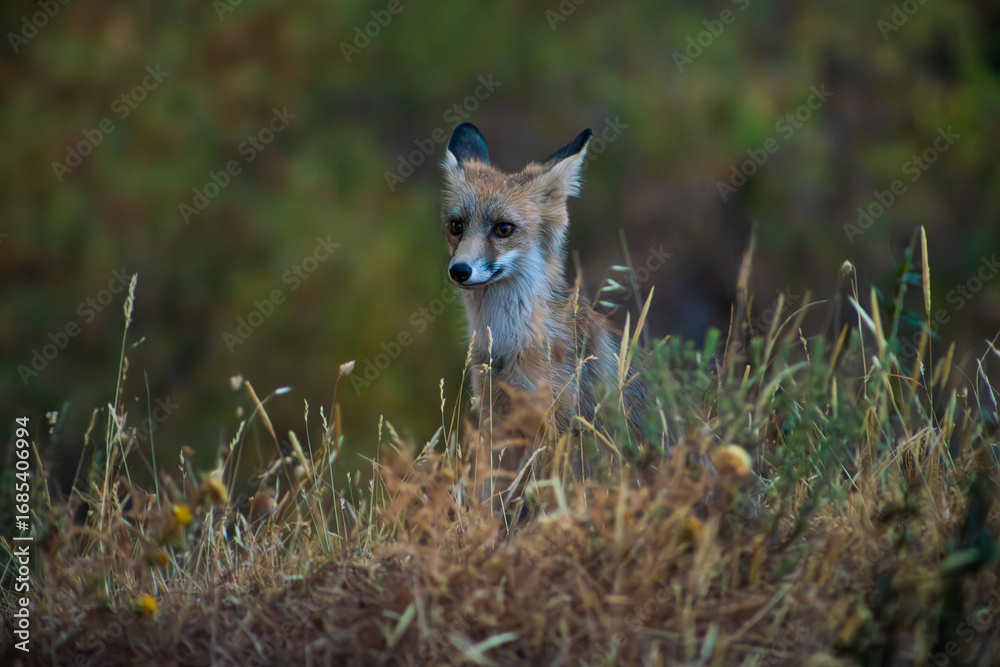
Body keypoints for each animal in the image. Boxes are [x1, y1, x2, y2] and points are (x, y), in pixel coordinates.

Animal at [440, 122, 648, 442]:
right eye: (456, 226)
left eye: (504, 229)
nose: (459, 270)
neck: (506, 344)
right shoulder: (494, 411)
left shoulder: (557, 421)